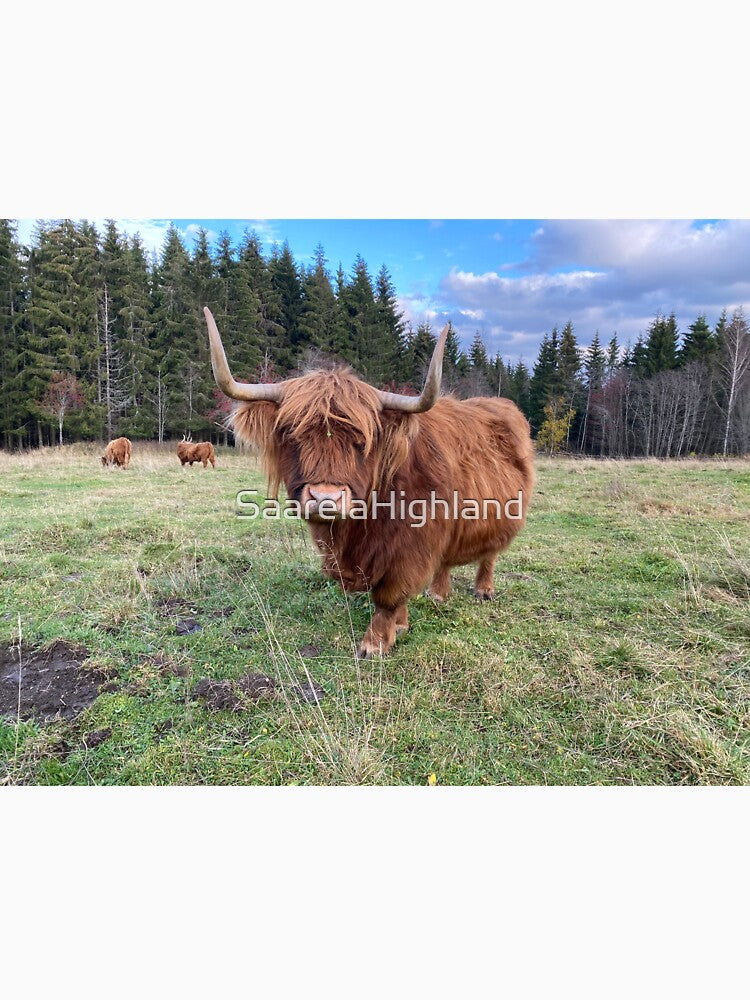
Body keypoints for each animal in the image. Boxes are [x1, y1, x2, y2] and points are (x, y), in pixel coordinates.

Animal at [204, 306, 534, 659]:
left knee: (490, 554)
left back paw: (483, 589)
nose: (326, 498)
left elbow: (389, 595)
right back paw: (438, 593)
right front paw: (401, 625)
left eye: (362, 441)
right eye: (292, 435)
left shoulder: (412, 547)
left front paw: (375, 643)